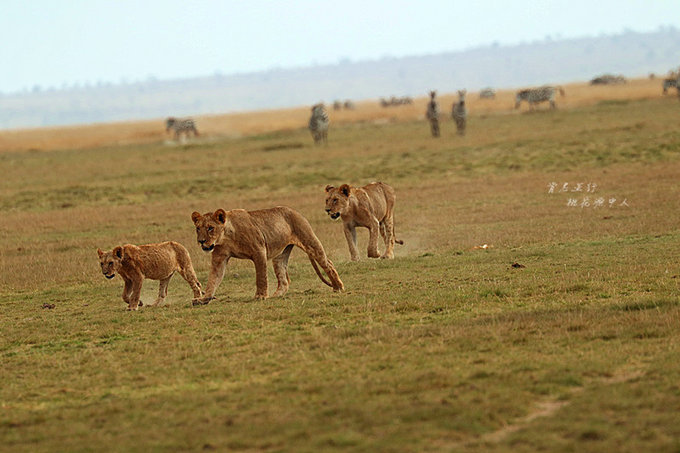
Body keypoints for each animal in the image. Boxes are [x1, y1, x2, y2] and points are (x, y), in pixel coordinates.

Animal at [191, 207, 346, 302]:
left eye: (210, 228)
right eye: (198, 228)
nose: (201, 241)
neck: (226, 236)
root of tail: (295, 211)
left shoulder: (259, 251)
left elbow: (261, 277)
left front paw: (260, 296)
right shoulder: (219, 258)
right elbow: (213, 280)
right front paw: (203, 299)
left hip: (309, 241)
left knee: (328, 263)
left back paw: (338, 287)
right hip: (280, 256)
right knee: (284, 280)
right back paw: (276, 296)